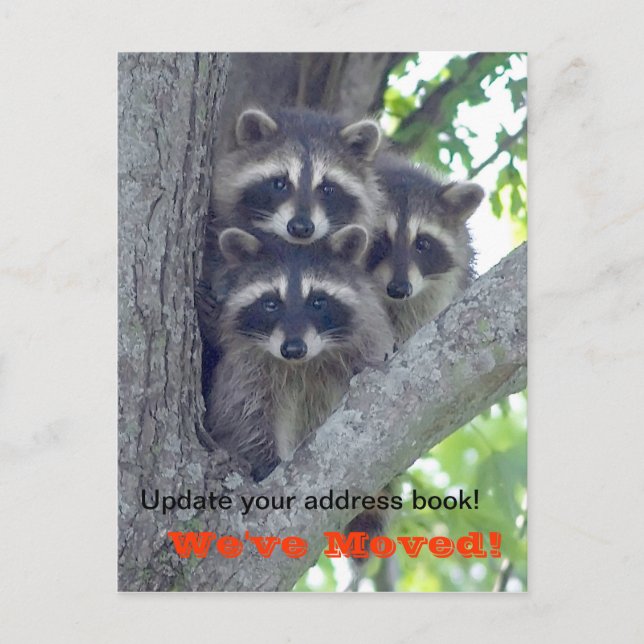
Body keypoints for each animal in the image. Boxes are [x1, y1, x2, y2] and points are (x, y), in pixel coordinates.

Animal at [204, 225, 394, 481]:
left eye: (318, 302)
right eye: (271, 304)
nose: (293, 349)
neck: (303, 364)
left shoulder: (367, 338)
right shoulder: (245, 366)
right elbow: (242, 415)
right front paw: (264, 461)